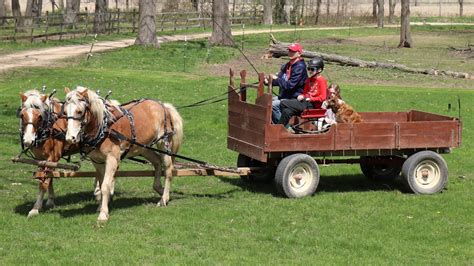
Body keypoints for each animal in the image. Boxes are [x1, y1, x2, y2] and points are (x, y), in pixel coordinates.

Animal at [64, 86, 185, 221]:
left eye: (79, 111)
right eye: (65, 112)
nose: (70, 138)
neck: (104, 128)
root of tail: (163, 105)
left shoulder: (112, 159)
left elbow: (105, 186)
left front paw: (103, 214)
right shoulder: (97, 161)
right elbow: (101, 184)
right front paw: (100, 207)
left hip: (164, 144)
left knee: (168, 170)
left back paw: (164, 199)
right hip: (143, 148)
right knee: (157, 162)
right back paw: (158, 187)